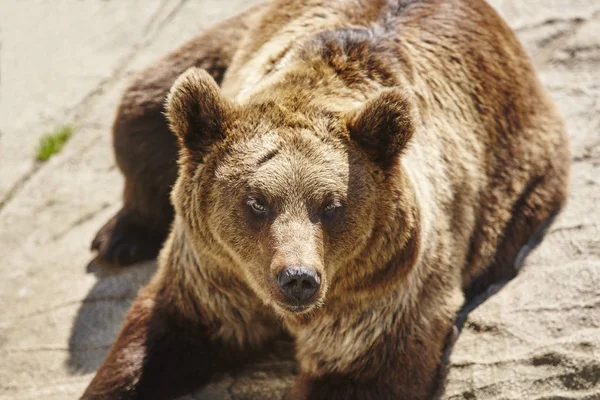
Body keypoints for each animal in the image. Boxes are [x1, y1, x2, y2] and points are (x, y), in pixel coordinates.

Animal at [83, 0, 568, 398]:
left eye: (332, 206)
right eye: (256, 202)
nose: (297, 278)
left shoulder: (381, 291)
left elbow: (361, 373)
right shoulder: (212, 273)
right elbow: (155, 340)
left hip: (518, 171)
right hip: (228, 43)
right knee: (145, 104)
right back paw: (119, 237)